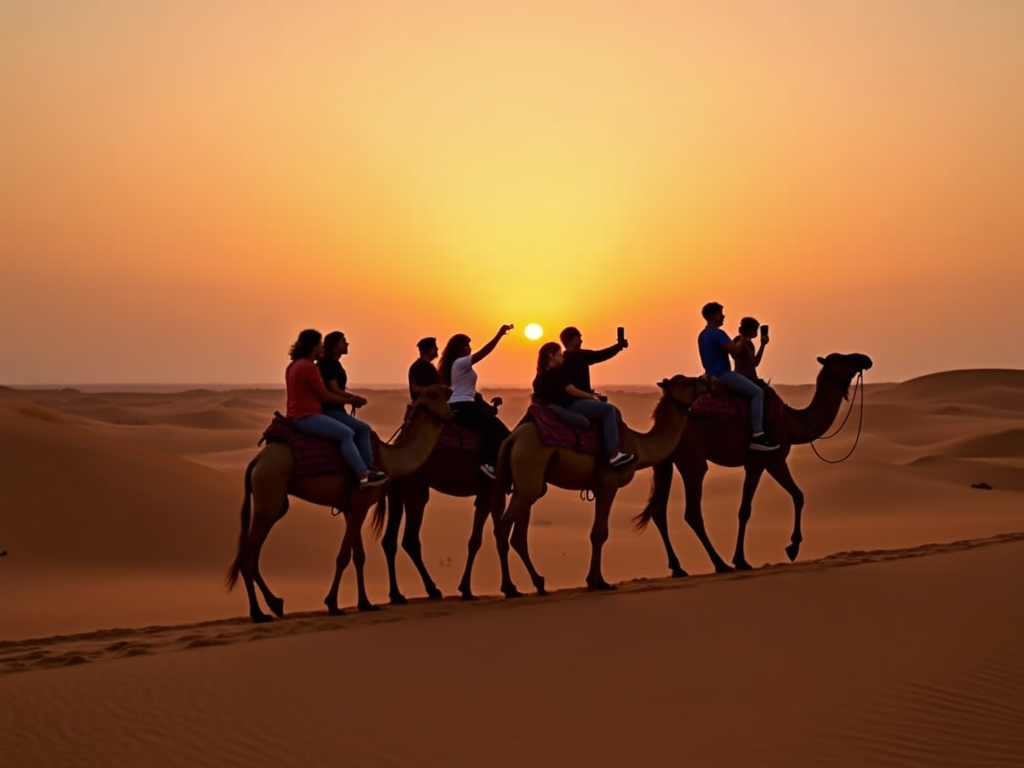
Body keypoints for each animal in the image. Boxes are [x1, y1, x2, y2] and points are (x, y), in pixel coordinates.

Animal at [228, 385, 452, 626]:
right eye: (434, 393)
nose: (451, 398)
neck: (388, 460)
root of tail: (256, 461)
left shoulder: (352, 508)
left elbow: (358, 556)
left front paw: (365, 604)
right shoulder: (361, 505)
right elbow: (343, 556)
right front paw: (333, 604)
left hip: (270, 503)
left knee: (251, 555)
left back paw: (274, 605)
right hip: (269, 496)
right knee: (247, 557)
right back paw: (258, 613)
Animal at [491, 376, 716, 598]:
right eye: (686, 382)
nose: (707, 380)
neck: (639, 447)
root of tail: (511, 439)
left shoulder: (598, 488)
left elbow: (596, 532)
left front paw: (597, 580)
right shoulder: (610, 482)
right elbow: (600, 532)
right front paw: (597, 582)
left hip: (526, 485)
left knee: (518, 536)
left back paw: (538, 583)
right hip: (529, 471)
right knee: (502, 528)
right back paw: (510, 589)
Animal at [630, 352, 872, 573]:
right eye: (844, 359)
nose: (866, 359)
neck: (793, 423)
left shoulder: (760, 463)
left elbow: (765, 504)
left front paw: (755, 556)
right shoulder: (769, 460)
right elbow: (775, 502)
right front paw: (781, 550)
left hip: (664, 463)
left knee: (659, 512)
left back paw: (678, 568)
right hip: (693, 460)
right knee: (692, 512)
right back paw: (720, 564)